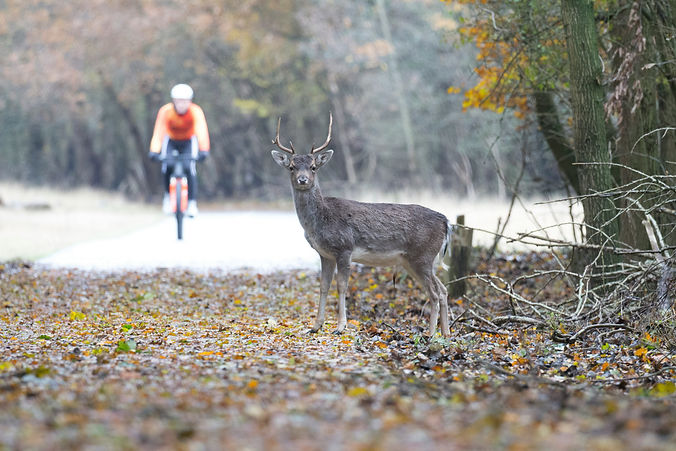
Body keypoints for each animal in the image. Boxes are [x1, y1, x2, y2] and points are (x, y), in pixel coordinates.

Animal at [271, 113, 454, 337]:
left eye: (313, 167)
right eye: (291, 167)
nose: (303, 179)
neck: (319, 222)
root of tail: (446, 221)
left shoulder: (344, 248)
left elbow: (341, 286)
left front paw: (340, 326)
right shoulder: (325, 254)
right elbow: (323, 287)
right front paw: (315, 326)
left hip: (422, 256)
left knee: (435, 293)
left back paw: (431, 334)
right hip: (414, 261)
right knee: (443, 290)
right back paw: (446, 333)